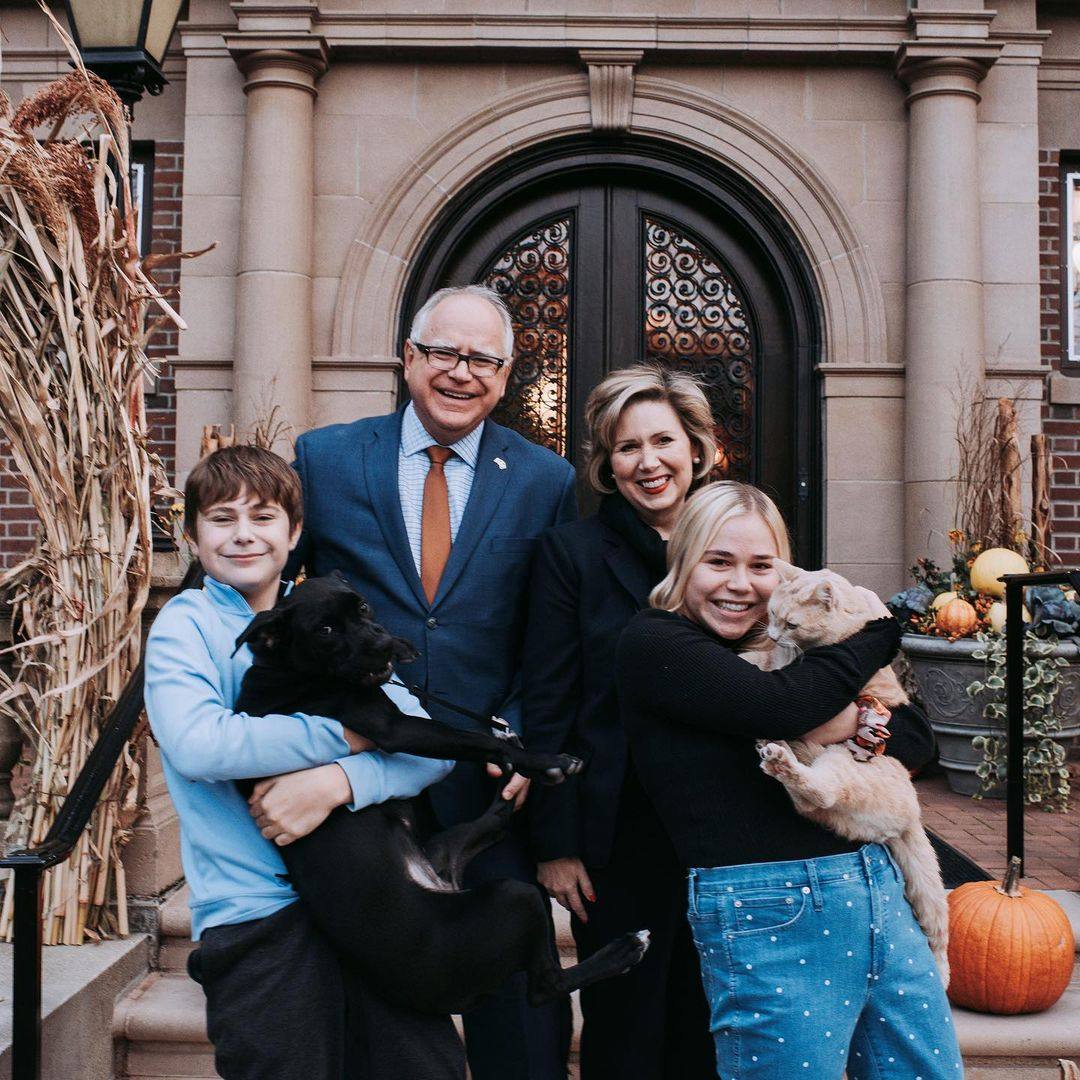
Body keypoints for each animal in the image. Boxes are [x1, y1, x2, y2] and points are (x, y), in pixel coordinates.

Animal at [233, 570, 648, 1015]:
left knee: (499, 818)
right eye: (325, 630)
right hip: (514, 897)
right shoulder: (396, 727)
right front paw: (545, 759)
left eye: (362, 606)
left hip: (452, 847)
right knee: (545, 986)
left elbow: (472, 738)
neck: (286, 668)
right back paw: (624, 950)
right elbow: (467, 737)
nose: (382, 642)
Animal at [743, 561, 946, 984]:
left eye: (790, 623)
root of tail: (912, 817)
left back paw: (780, 757)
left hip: (840, 765)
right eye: (771, 615)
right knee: (811, 803)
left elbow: (770, 666)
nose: (773, 635)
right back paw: (778, 750)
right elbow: (761, 660)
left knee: (821, 792)